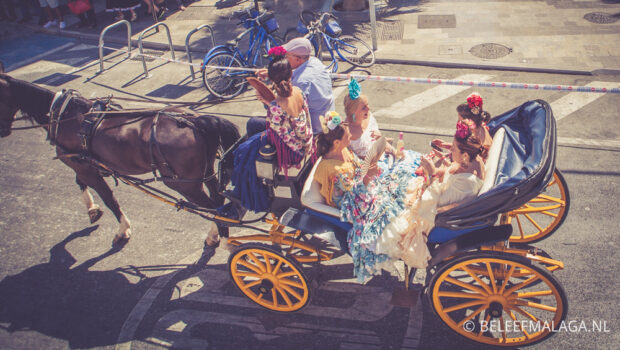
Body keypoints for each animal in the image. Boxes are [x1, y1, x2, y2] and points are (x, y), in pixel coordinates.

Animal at [0, 69, 241, 246]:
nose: (3, 132)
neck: (64, 115)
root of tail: (196, 121)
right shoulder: (84, 164)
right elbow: (81, 184)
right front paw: (92, 210)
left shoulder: (82, 166)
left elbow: (109, 198)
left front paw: (122, 229)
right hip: (204, 173)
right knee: (217, 201)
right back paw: (217, 234)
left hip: (184, 184)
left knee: (212, 208)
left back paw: (221, 239)